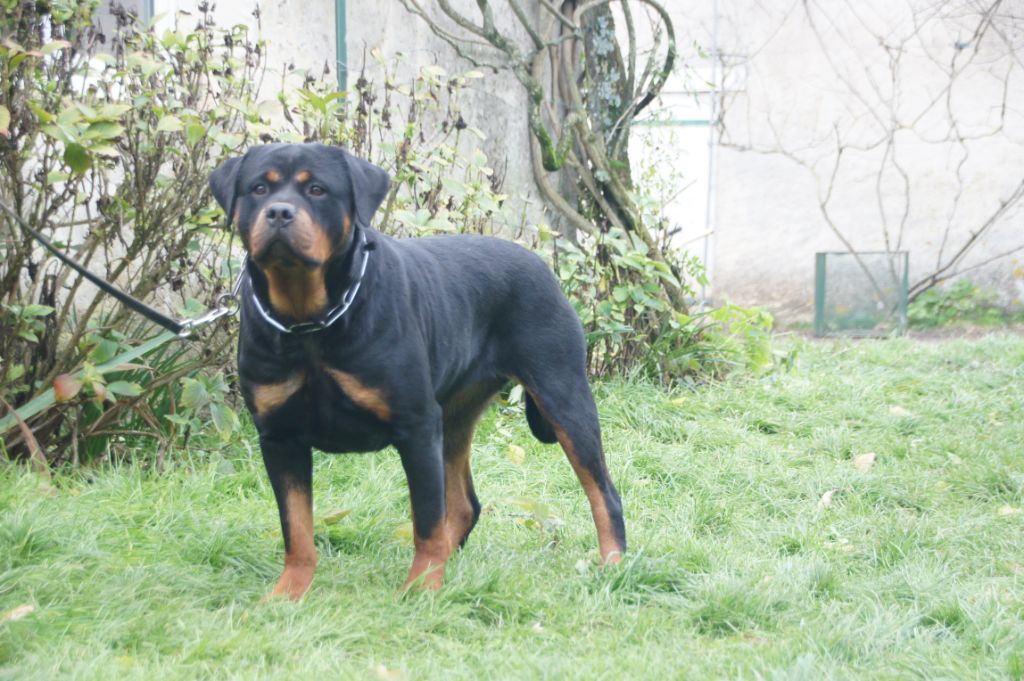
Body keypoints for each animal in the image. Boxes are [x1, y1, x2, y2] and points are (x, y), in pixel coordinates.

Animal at [209, 143, 625, 598]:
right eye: (258, 188)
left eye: (317, 189)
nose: (280, 212)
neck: (310, 323)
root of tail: (540, 263)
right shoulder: (280, 437)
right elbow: (296, 528)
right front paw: (288, 593)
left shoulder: (417, 427)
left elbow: (425, 522)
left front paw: (421, 590)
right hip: (456, 416)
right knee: (463, 505)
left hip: (562, 394)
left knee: (603, 491)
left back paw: (613, 565)